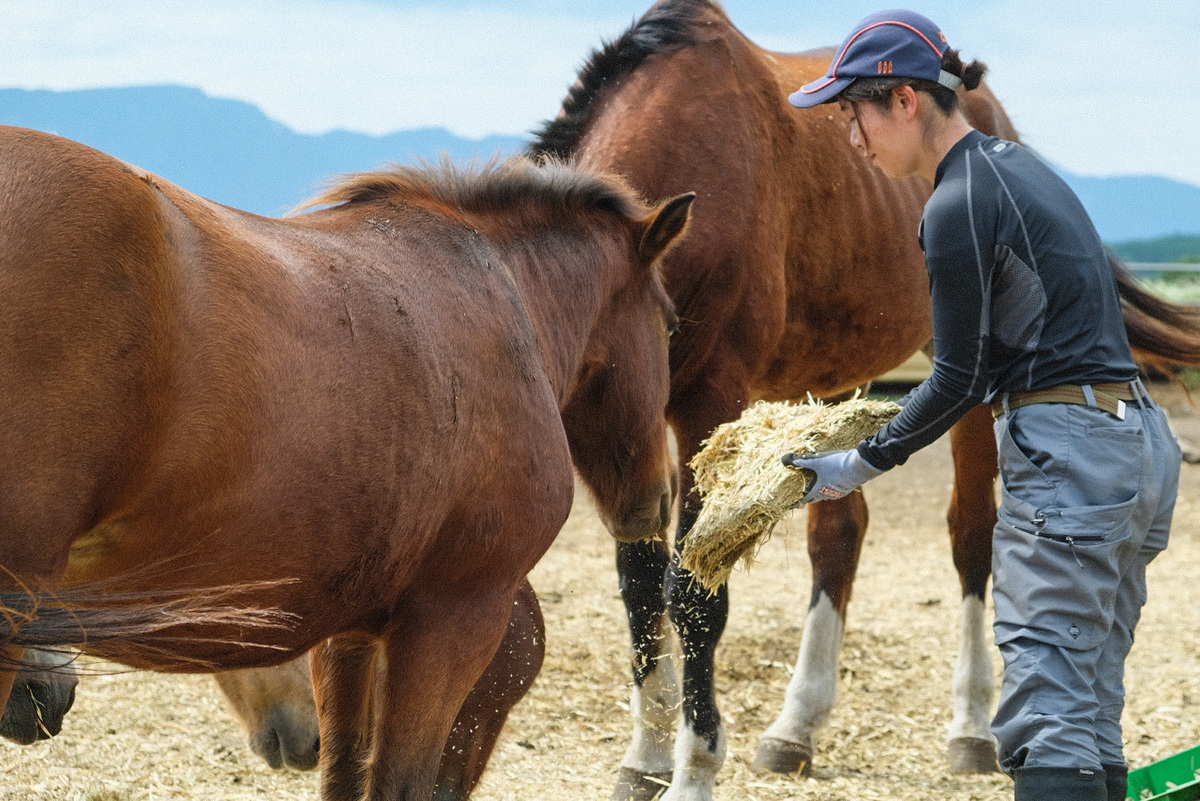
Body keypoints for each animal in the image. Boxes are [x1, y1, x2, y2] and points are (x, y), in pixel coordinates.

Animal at [0, 124, 694, 800]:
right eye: (668, 324)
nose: (659, 500)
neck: (502, 290)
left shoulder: (350, 635)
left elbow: (342, 776)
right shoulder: (453, 622)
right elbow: (398, 781)